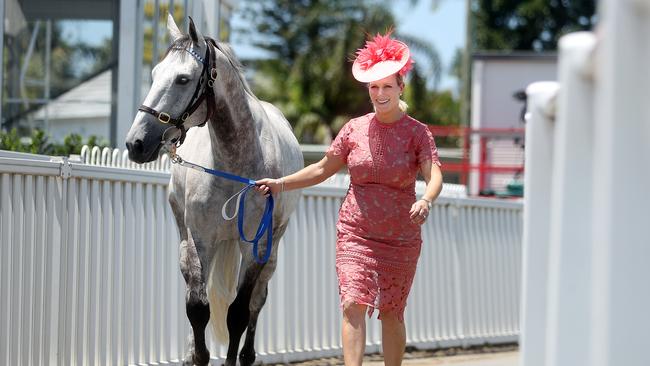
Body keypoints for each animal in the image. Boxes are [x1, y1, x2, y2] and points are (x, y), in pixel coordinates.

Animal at [125, 15, 302, 366]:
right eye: (154, 74)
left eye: (182, 78)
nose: (136, 143)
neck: (235, 163)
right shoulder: (200, 239)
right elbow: (197, 308)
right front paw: (197, 355)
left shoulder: (256, 245)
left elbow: (238, 313)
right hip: (188, 241)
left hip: (271, 248)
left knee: (256, 302)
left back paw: (247, 355)